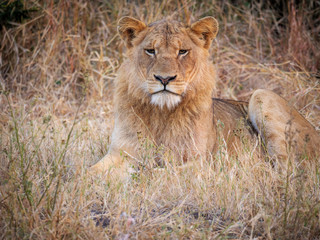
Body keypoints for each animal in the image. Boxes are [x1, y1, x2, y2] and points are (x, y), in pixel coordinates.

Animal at [90, 15, 320, 175]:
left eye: (182, 51)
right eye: (150, 51)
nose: (164, 79)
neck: (161, 113)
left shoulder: (201, 163)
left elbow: (157, 174)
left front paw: (135, 174)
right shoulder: (120, 153)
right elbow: (89, 173)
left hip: (262, 95)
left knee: (286, 171)